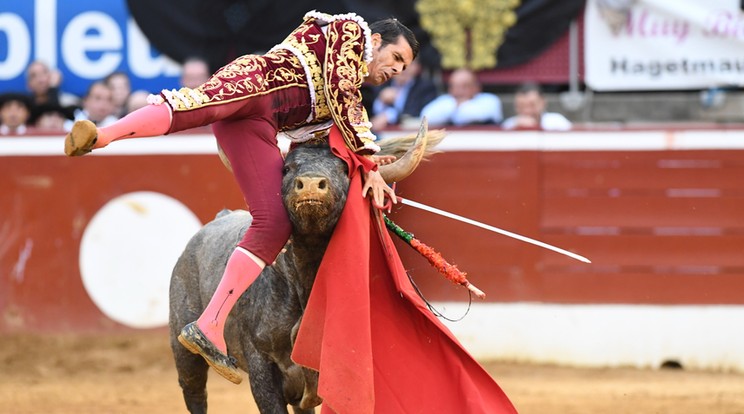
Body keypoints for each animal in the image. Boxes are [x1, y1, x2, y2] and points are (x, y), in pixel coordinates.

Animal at [167, 121, 442, 412]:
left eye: (344, 169)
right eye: (287, 169)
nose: (310, 184)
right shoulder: (260, 363)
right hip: (183, 349)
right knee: (194, 390)